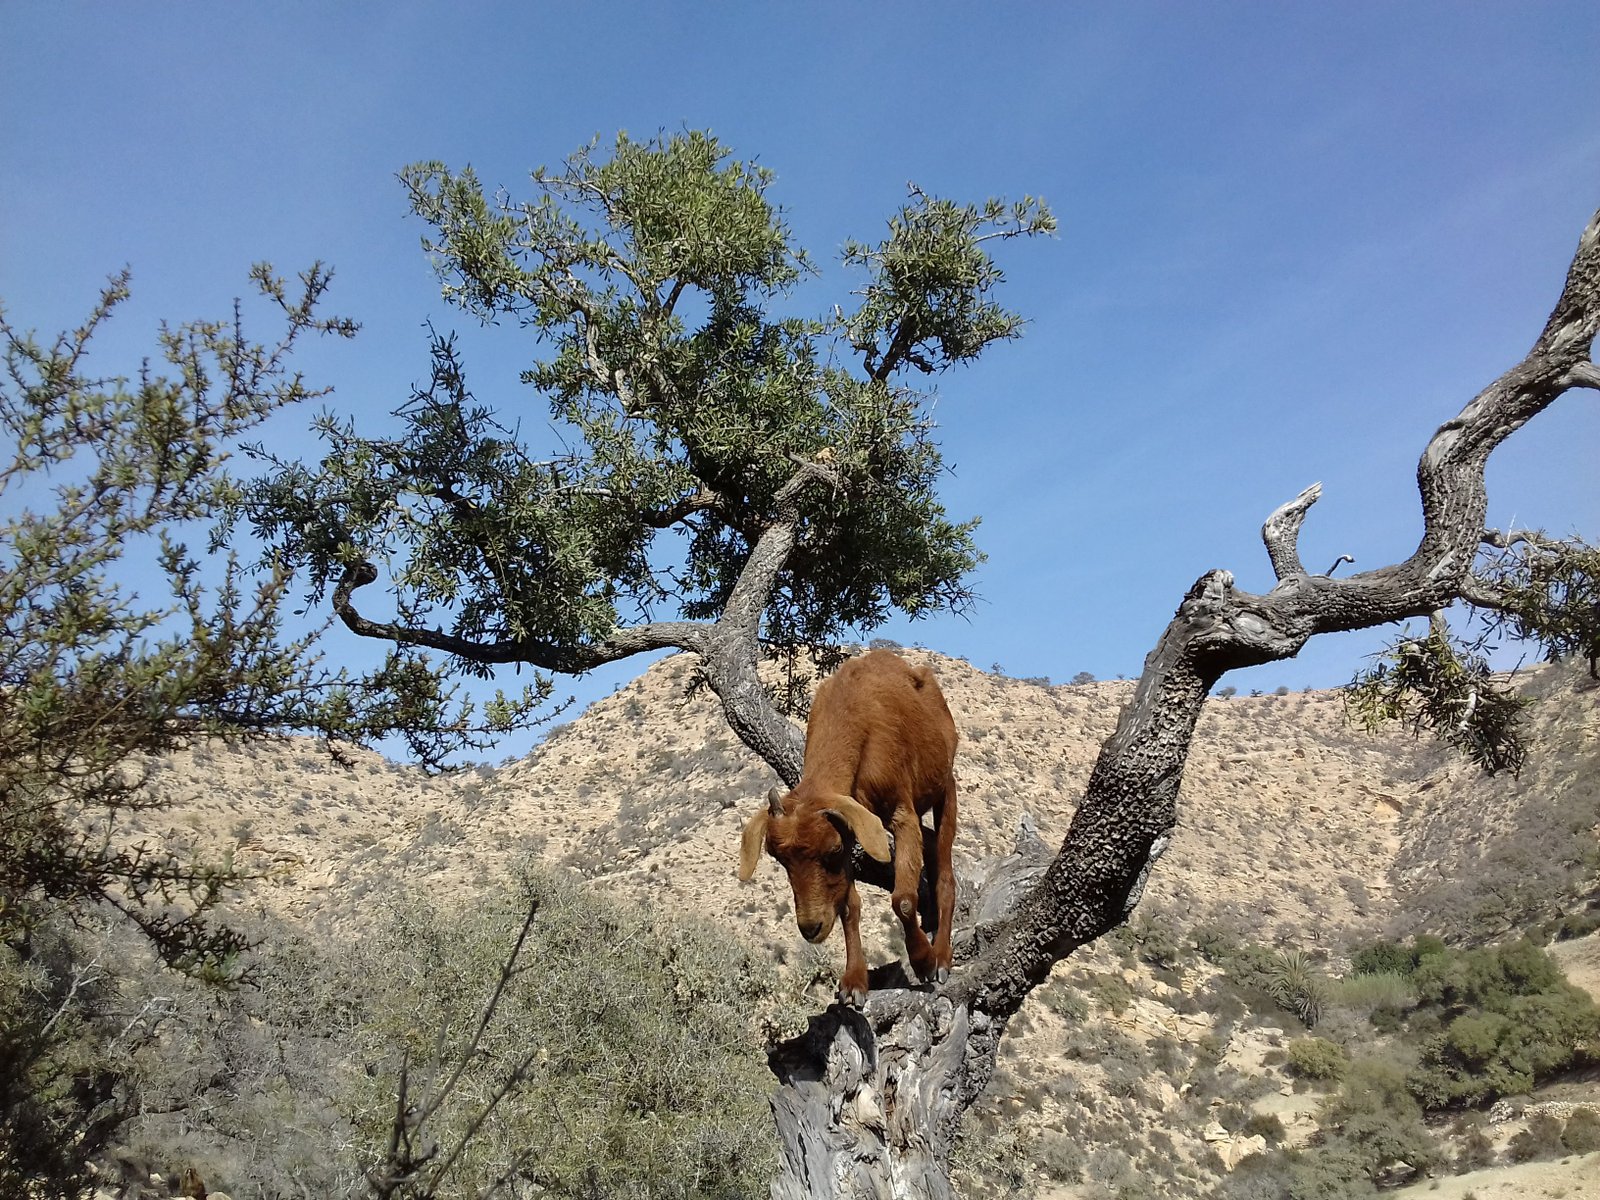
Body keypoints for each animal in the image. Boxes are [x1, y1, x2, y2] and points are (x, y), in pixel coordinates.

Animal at [738, 649, 958, 1006]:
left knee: (945, 869)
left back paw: (941, 957)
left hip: (946, 786)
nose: (811, 928)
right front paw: (854, 981)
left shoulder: (901, 814)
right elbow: (849, 906)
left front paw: (923, 960)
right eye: (779, 859)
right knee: (930, 841)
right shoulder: (854, 825)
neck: (852, 712)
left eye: (832, 850)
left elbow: (902, 899)